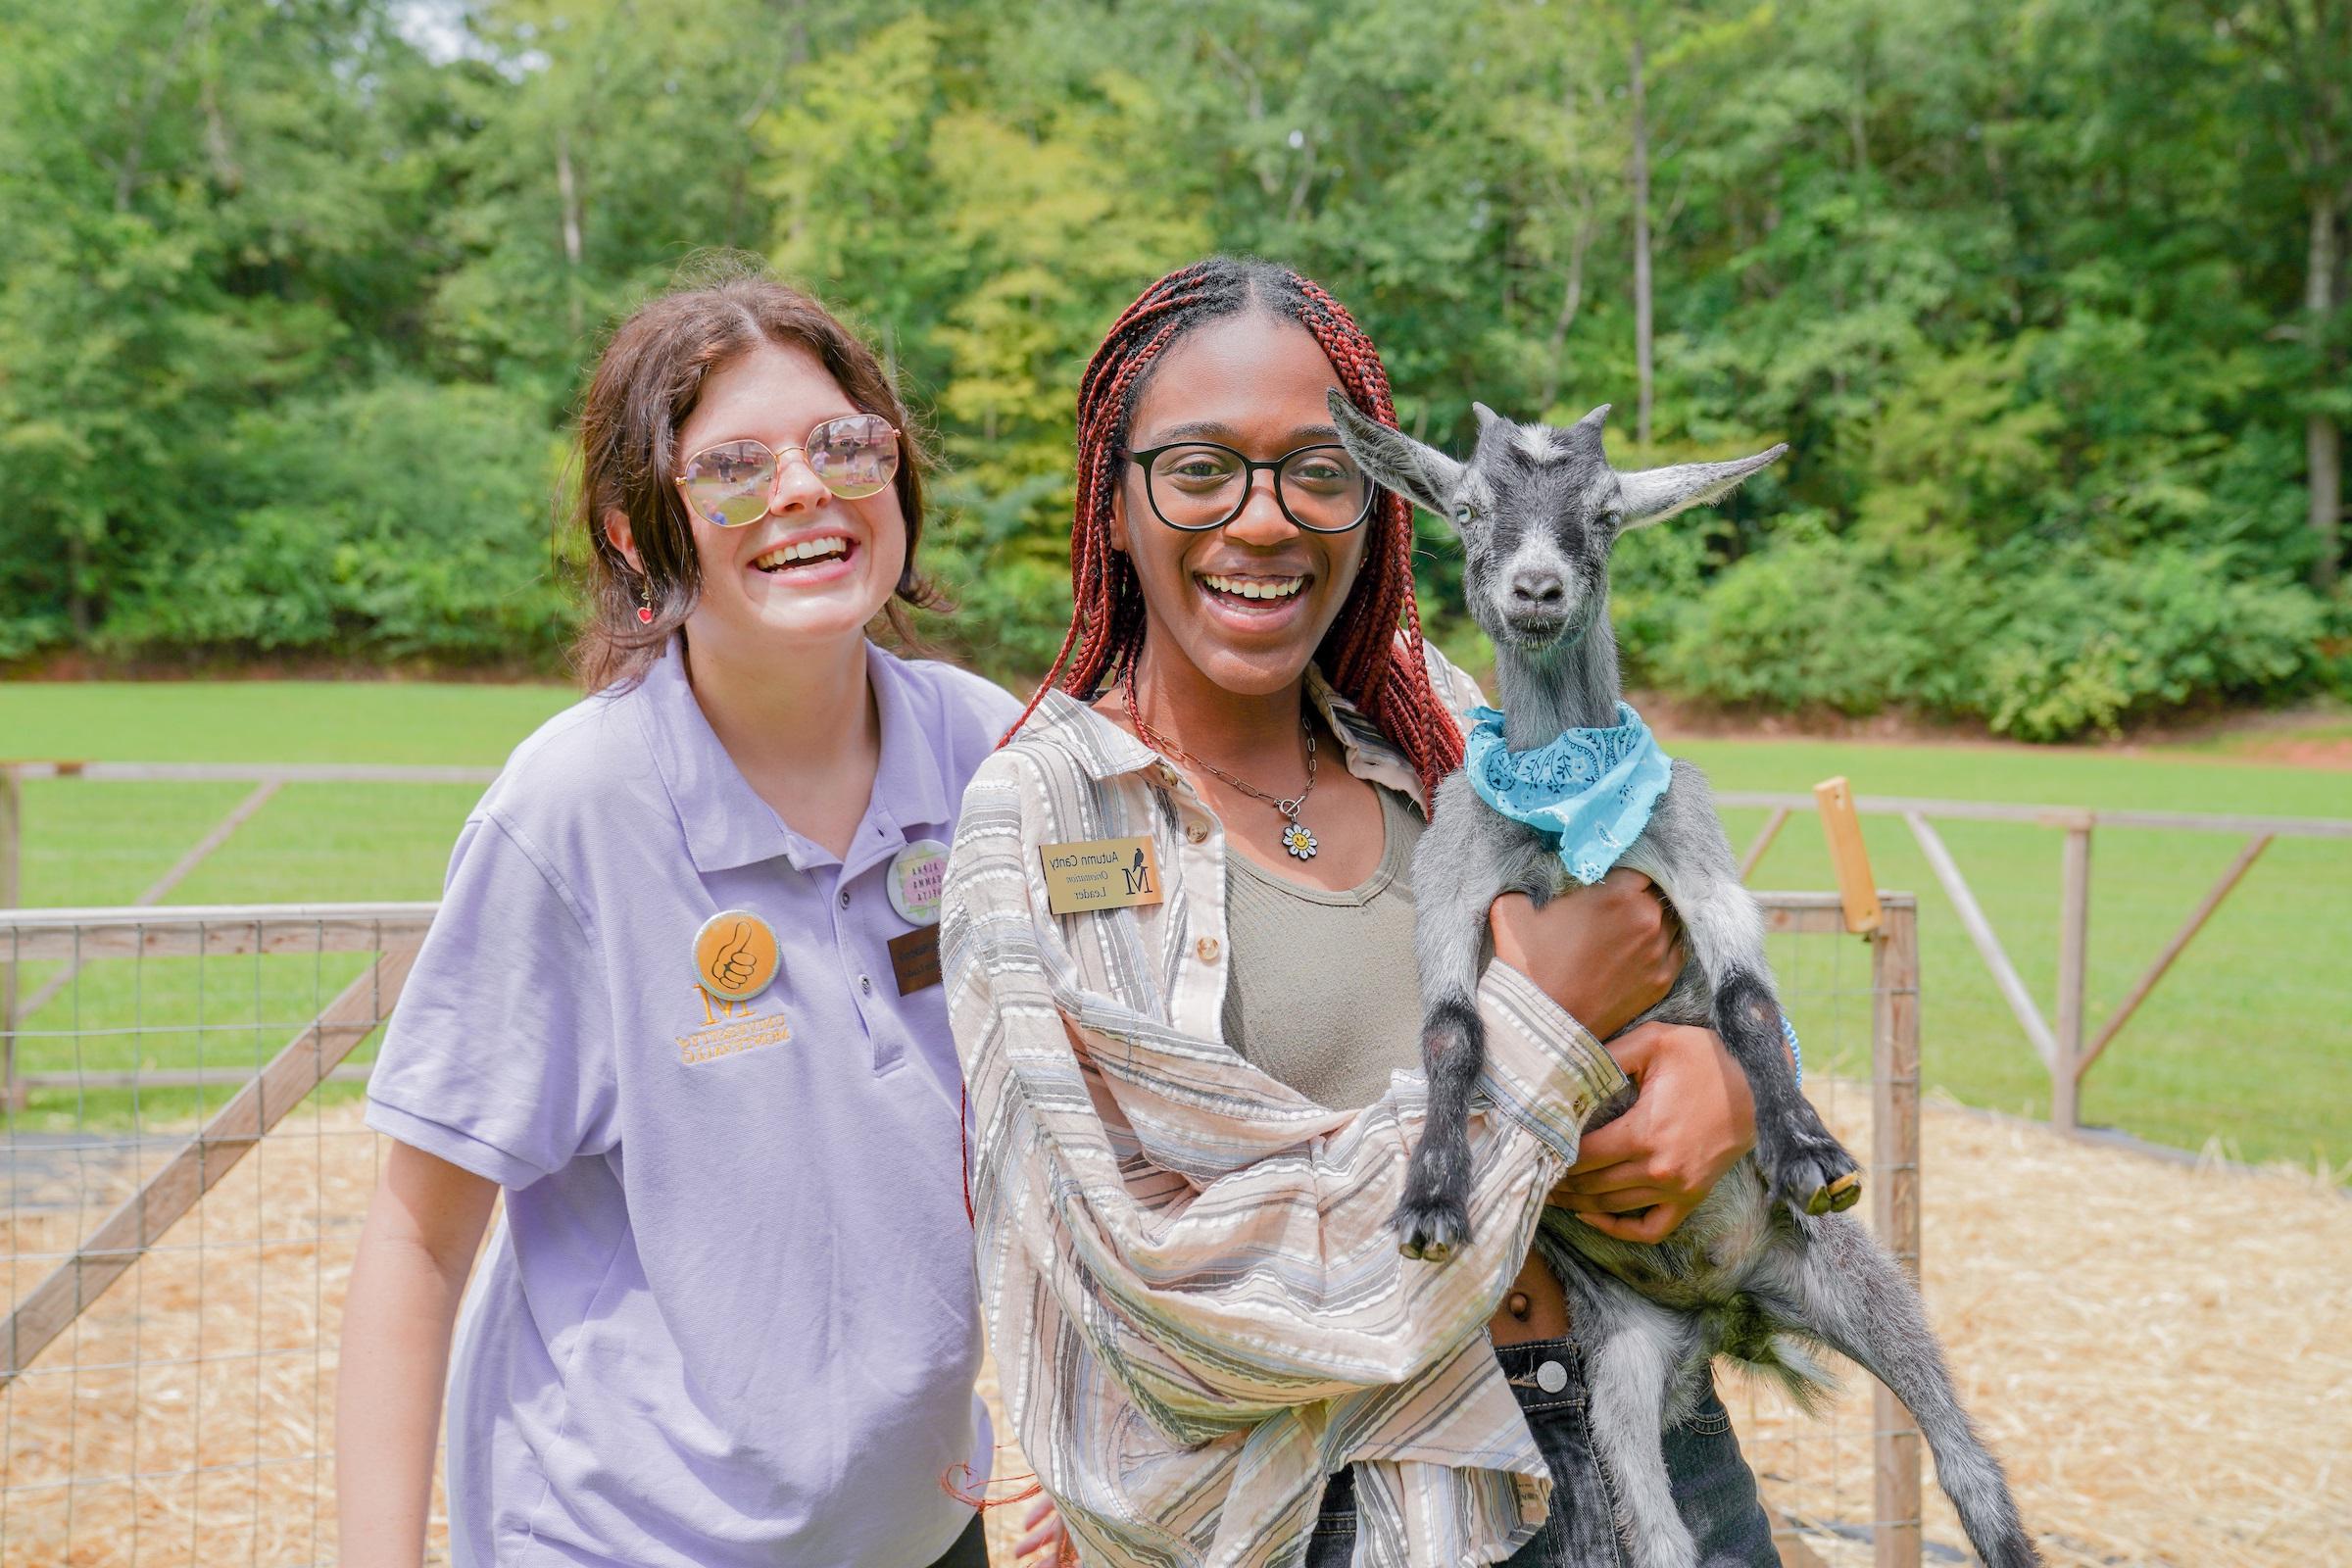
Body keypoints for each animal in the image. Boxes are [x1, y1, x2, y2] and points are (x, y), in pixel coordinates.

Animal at [1326, 394, 2041, 1568]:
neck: (1563, 802)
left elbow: (1748, 1000)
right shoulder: (1452, 888)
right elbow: (1449, 1033)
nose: (1536, 589)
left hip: (1858, 1279)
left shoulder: (1697, 859)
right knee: (1662, 1537)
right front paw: (1431, 1196)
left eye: (1607, 512)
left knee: (1970, 1471)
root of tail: (1729, 1304)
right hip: (1621, 1371)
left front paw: (1806, 1145)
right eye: (1467, 508)